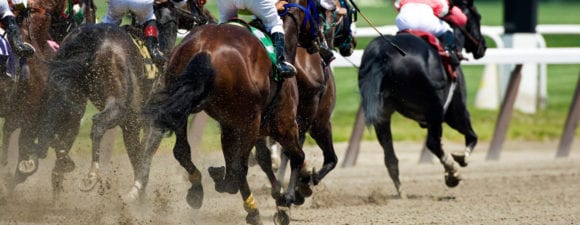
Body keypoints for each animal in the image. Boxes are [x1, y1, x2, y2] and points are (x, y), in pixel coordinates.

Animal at [358, 0, 484, 198]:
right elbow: (472, 136)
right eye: (478, 17)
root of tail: (383, 54)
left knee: (389, 155)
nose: (483, 47)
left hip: (382, 114)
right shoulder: (455, 110)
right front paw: (460, 160)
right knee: (433, 143)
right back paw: (452, 174)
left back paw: (401, 191)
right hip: (435, 109)